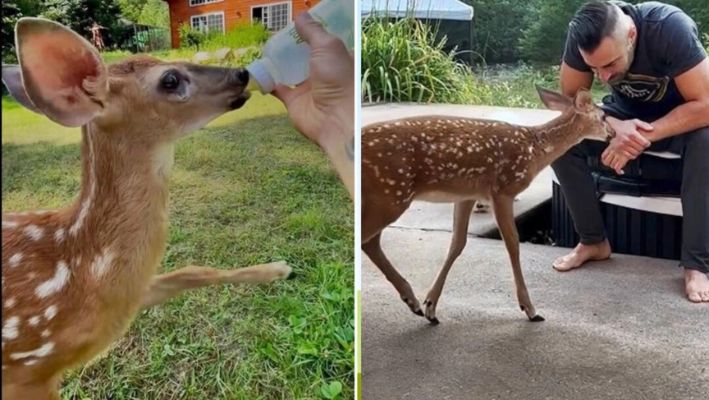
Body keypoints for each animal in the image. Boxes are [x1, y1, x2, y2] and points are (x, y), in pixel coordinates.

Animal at [2, 18, 290, 396]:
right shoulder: (27, 372)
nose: (242, 73)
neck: (82, 268)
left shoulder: (131, 294)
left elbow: (192, 271)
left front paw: (278, 268)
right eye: (170, 79)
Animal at [360, 86, 612, 324]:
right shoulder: (503, 190)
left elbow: (457, 243)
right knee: (368, 239)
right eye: (603, 116)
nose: (612, 134)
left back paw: (412, 302)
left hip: (386, 197)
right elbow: (512, 244)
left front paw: (431, 306)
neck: (534, 150)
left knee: (371, 242)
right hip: (391, 193)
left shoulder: (467, 195)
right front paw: (530, 309)